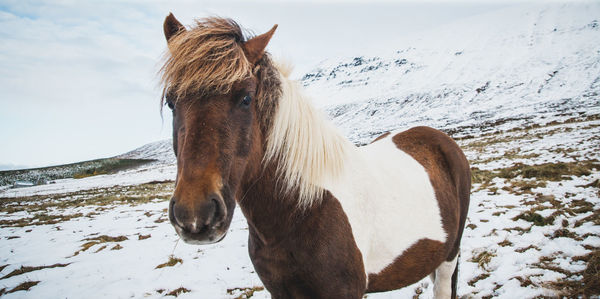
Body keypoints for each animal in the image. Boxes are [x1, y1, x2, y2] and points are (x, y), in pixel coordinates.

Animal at [162, 14, 472, 299]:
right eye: (171, 101)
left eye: (246, 98)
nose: (195, 215)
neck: (302, 208)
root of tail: (441, 138)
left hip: (449, 257)